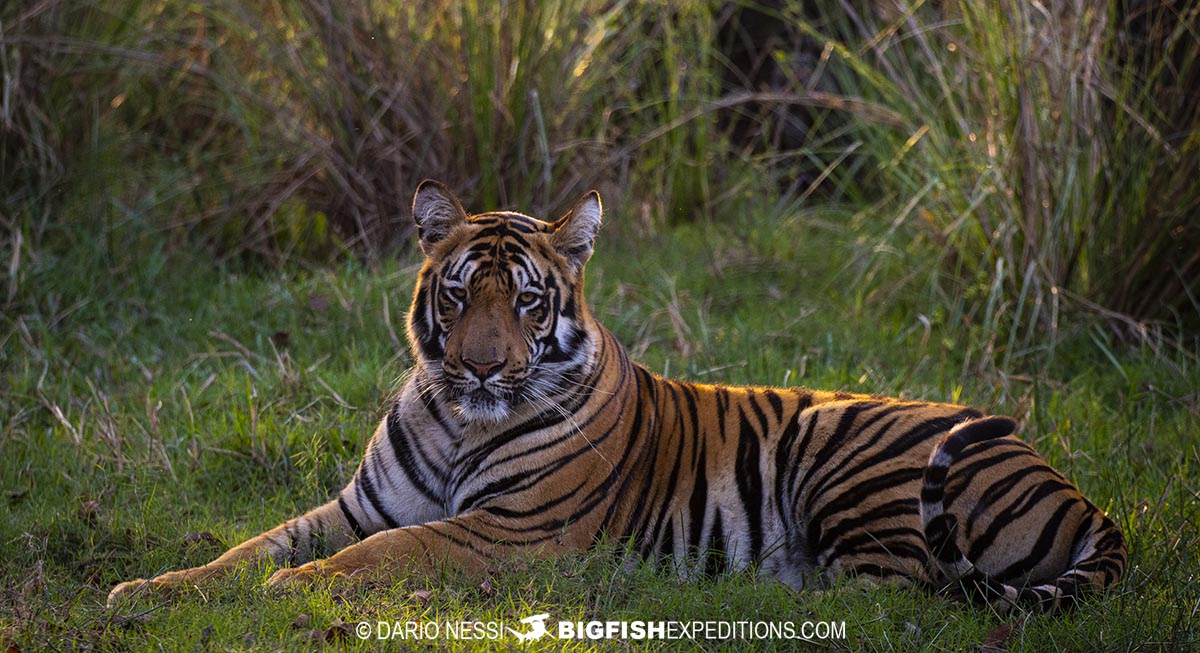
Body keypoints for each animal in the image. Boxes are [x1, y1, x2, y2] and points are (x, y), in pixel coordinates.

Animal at [108, 180, 1128, 612]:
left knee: (891, 598)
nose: (482, 367)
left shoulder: (510, 528)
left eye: (526, 300)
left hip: (846, 451)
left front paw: (298, 589)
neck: (455, 419)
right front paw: (145, 590)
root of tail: (1076, 487)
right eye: (458, 294)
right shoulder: (360, 504)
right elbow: (249, 545)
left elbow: (392, 552)